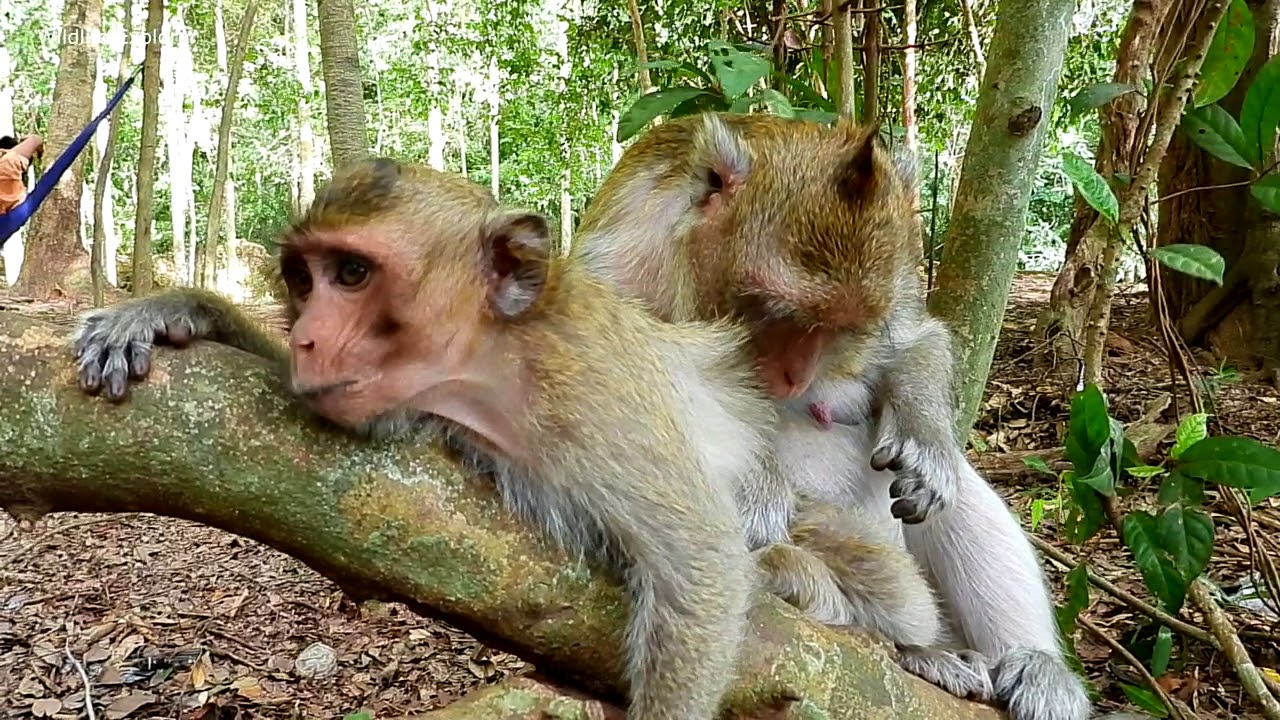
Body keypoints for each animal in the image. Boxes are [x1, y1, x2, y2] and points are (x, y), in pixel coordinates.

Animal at [70, 158, 949, 718]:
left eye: (351, 275)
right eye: (300, 278)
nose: (310, 338)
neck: (499, 362)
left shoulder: (590, 395)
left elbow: (700, 559)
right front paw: (174, 310)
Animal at [569, 112, 1094, 720]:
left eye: (845, 328)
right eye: (774, 310)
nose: (794, 374)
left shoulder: (897, 280)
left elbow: (912, 343)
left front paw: (924, 441)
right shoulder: (617, 259)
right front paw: (760, 491)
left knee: (964, 498)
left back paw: (1026, 663)